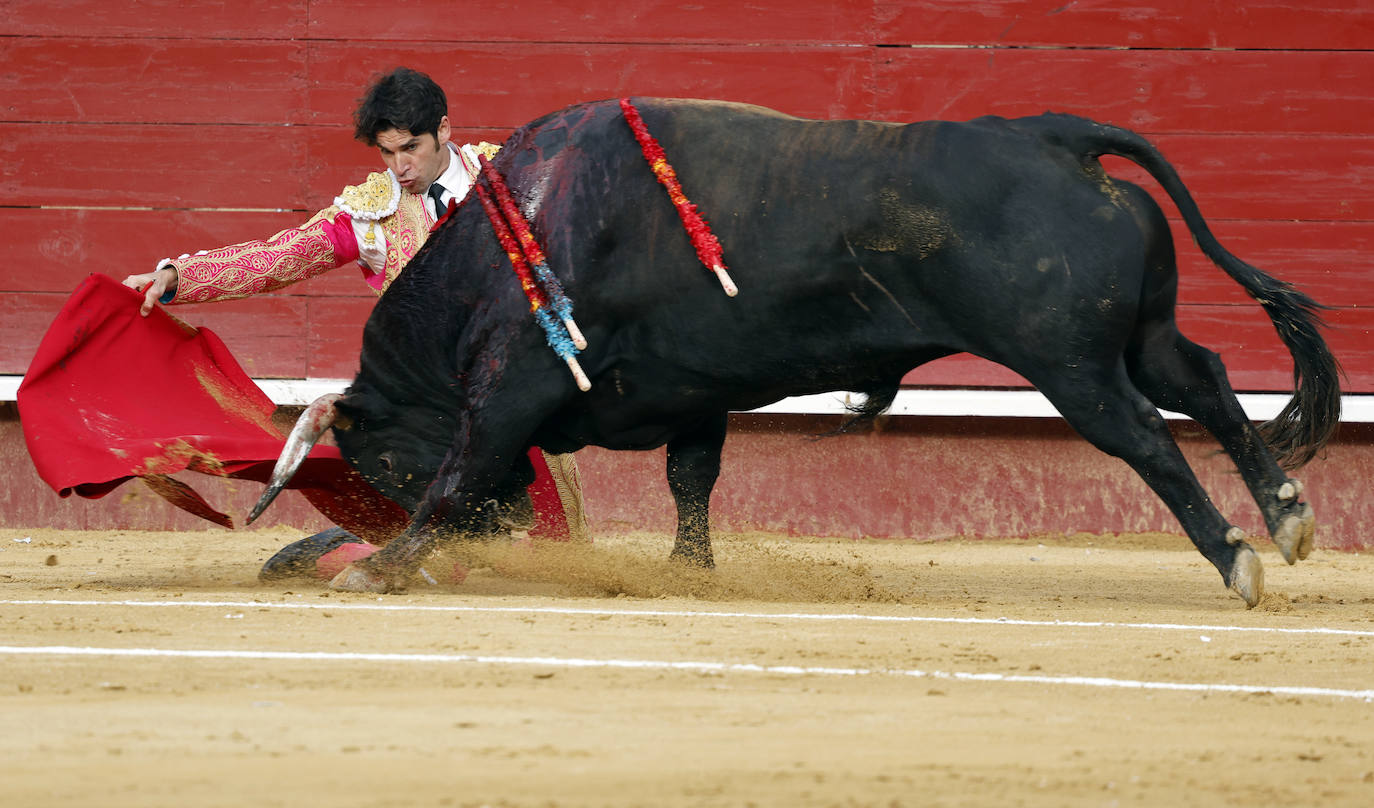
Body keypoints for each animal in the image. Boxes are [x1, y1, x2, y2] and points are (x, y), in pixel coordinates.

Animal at [250, 97, 1341, 604]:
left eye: (378, 456)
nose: (514, 521)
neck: (513, 230)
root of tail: (1049, 134)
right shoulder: (691, 389)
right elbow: (693, 479)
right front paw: (692, 572)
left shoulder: (512, 384)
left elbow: (458, 472)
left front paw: (381, 567)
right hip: (1136, 337)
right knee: (1206, 383)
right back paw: (1286, 516)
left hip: (1070, 366)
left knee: (1148, 438)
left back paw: (1240, 558)